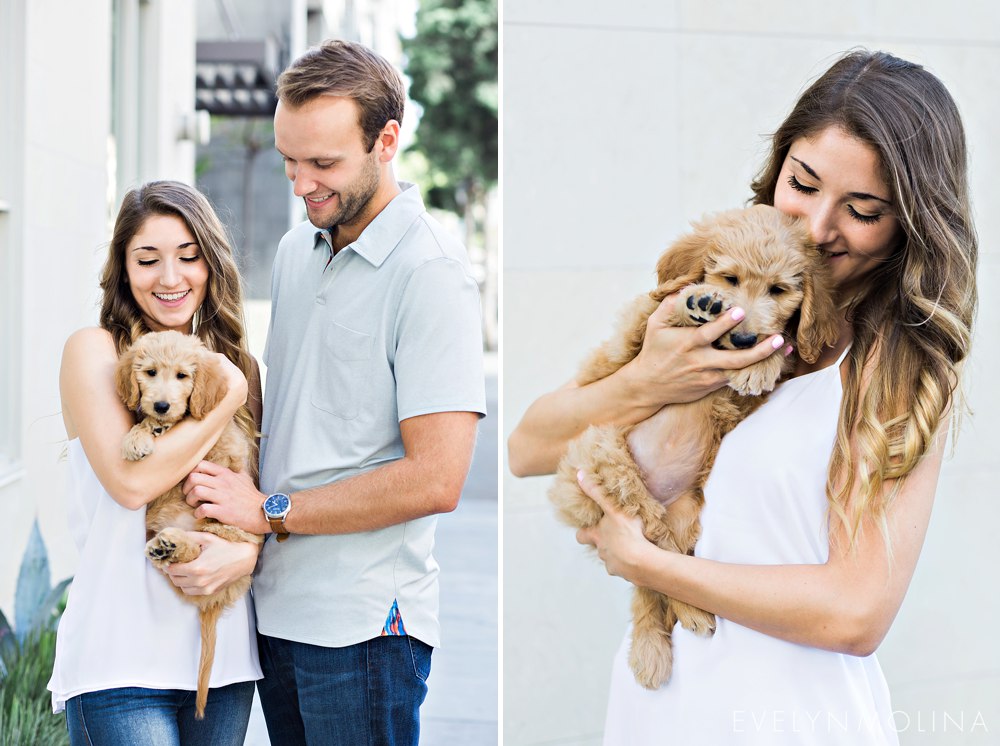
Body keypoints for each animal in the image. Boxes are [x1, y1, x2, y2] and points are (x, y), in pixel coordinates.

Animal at [114, 330, 262, 716]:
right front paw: (140, 433)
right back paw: (164, 547)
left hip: (225, 529)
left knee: (201, 546)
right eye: (150, 372)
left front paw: (153, 427)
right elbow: (144, 423)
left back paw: (174, 544)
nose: (162, 406)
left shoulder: (215, 446)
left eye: (182, 376)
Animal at [552, 203, 840, 684]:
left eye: (779, 290)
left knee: (659, 572)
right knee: (652, 551)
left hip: (684, 513)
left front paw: (759, 363)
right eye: (729, 278)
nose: (742, 338)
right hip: (609, 465)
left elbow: (785, 346)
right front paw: (698, 303)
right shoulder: (632, 340)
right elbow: (658, 312)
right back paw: (680, 623)